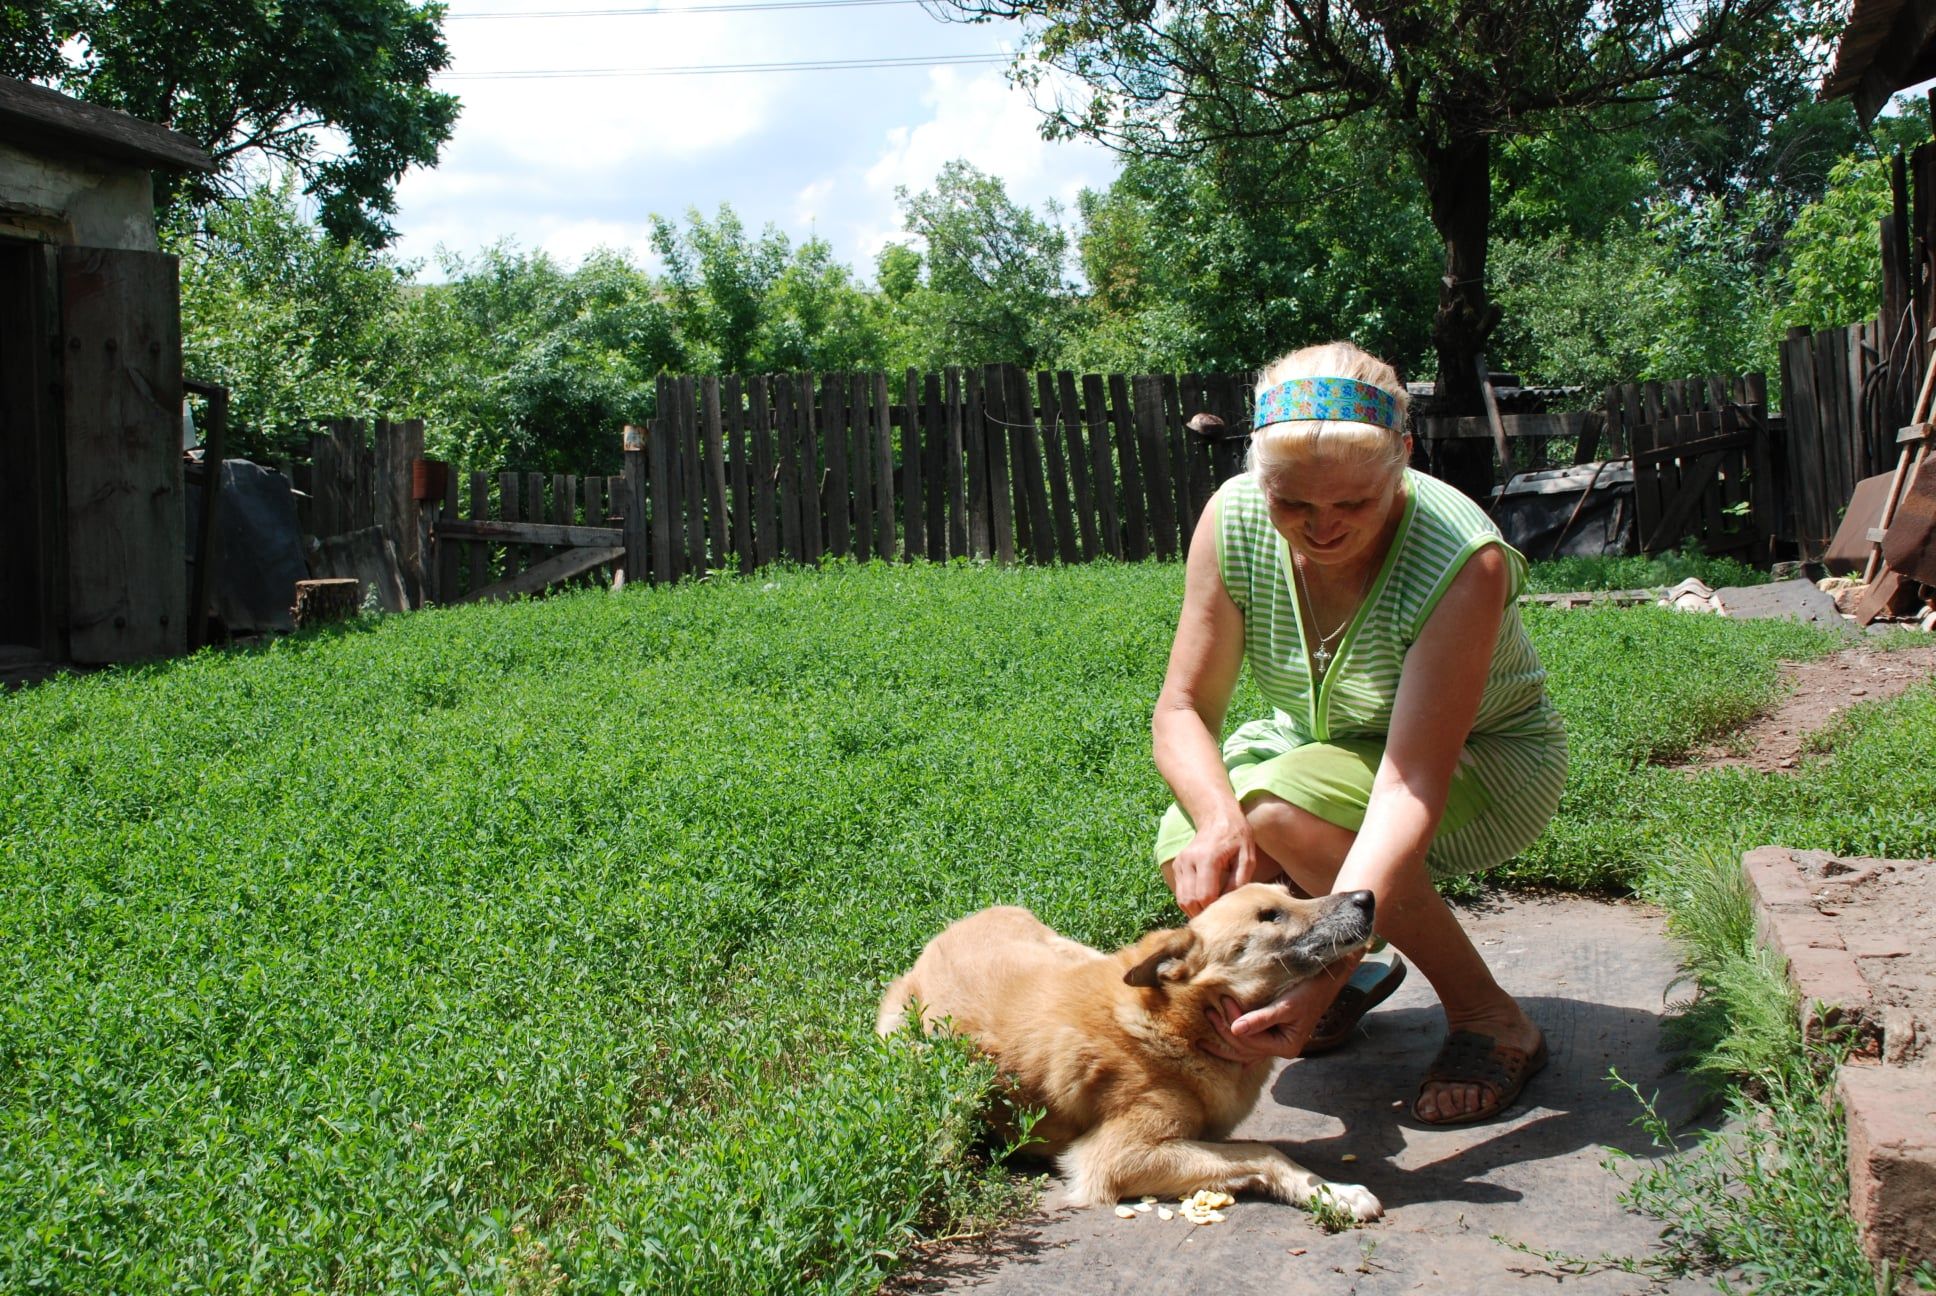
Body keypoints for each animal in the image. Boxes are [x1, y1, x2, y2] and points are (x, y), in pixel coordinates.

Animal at [871, 879, 1386, 1216]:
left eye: (1292, 894)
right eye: (1270, 915)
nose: (1367, 897)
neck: (1183, 1026)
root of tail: (941, 937)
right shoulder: (1112, 1158)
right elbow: (1263, 1150)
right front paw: (1333, 1192)